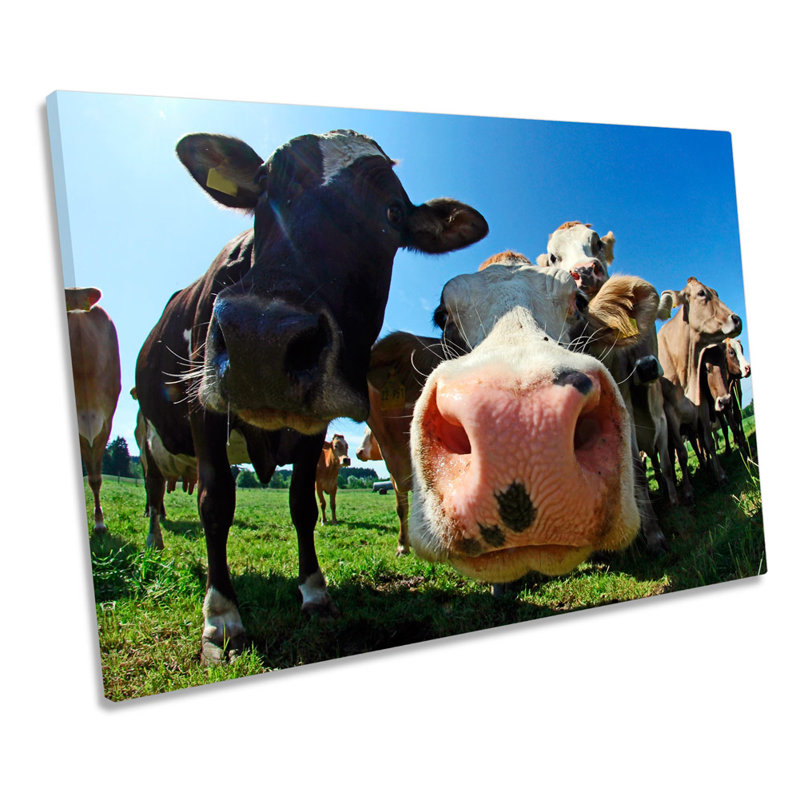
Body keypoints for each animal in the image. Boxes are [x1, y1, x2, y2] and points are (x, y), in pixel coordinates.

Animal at [658, 278, 743, 487]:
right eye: (702, 293)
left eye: (717, 292)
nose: (737, 319)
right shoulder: (670, 414)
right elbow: (681, 453)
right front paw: (688, 490)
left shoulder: (702, 404)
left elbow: (709, 441)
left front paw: (719, 475)